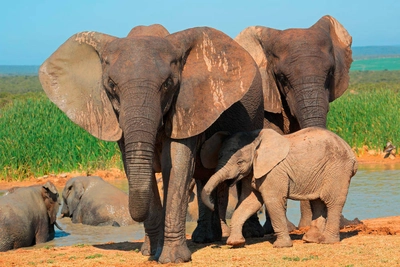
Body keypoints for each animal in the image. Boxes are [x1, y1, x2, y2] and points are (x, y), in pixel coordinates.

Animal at [202, 128, 358, 249]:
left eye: (240, 162)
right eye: (219, 156)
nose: (212, 205)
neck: (255, 139)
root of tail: (351, 151)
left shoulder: (273, 171)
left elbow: (272, 201)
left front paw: (281, 246)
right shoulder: (254, 171)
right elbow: (250, 203)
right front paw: (235, 243)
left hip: (338, 169)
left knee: (332, 202)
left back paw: (328, 241)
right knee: (317, 201)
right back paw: (310, 239)